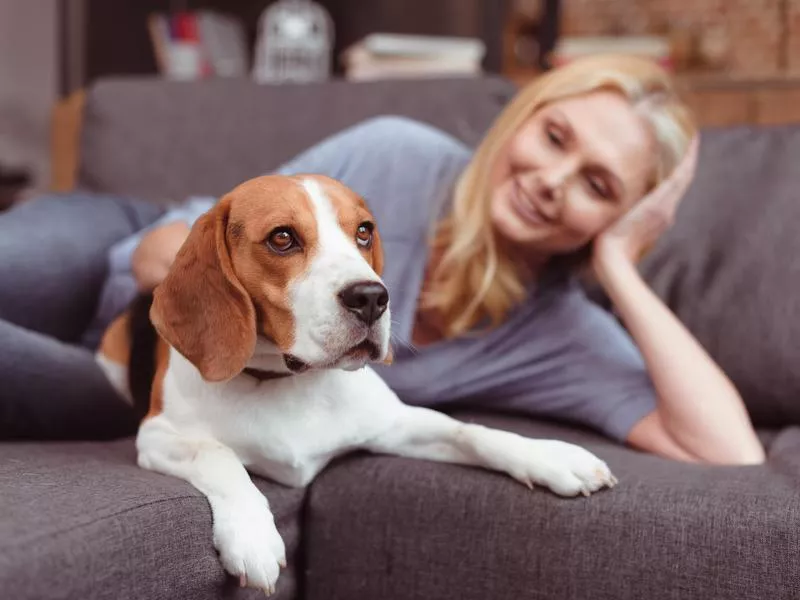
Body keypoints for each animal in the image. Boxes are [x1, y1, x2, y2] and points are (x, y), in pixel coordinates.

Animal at [95, 173, 620, 596]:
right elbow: (218, 455)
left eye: (364, 232)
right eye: (282, 238)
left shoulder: (397, 425)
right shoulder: (157, 435)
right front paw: (252, 534)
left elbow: (471, 431)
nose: (372, 297)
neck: (290, 381)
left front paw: (551, 457)